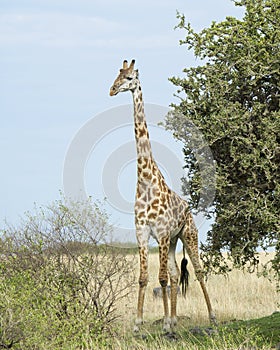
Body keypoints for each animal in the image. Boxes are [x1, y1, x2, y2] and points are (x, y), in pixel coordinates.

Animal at [109, 59, 217, 330]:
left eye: (130, 78)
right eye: (117, 74)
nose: (112, 90)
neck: (146, 180)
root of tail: (189, 208)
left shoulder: (161, 233)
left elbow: (161, 278)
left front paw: (165, 324)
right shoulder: (143, 232)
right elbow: (144, 277)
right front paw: (139, 322)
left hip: (188, 234)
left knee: (197, 271)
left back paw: (211, 316)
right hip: (174, 239)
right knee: (176, 274)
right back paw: (175, 318)